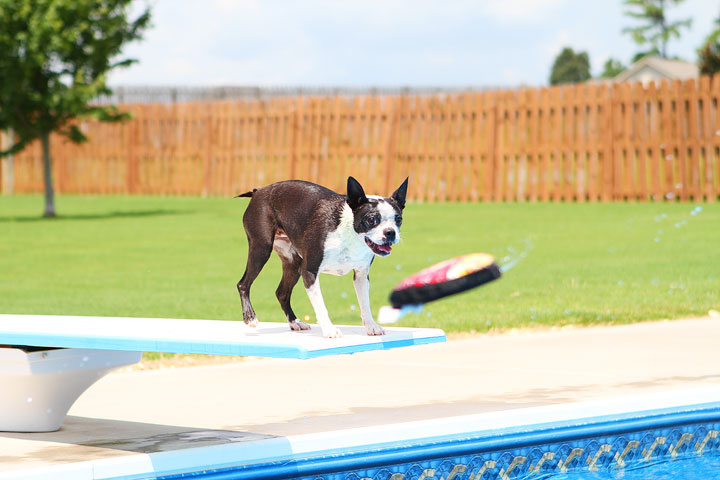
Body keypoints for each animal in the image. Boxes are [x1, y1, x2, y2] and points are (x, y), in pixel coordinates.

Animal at [235, 176, 404, 338]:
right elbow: (321, 306)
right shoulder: (310, 272)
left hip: (293, 264)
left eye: (399, 220)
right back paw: (250, 317)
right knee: (243, 284)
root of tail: (258, 191)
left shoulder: (361, 276)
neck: (349, 234)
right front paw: (330, 330)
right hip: (261, 249)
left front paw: (371, 326)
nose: (390, 232)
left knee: (282, 293)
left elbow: (364, 303)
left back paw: (295, 322)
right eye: (371, 220)